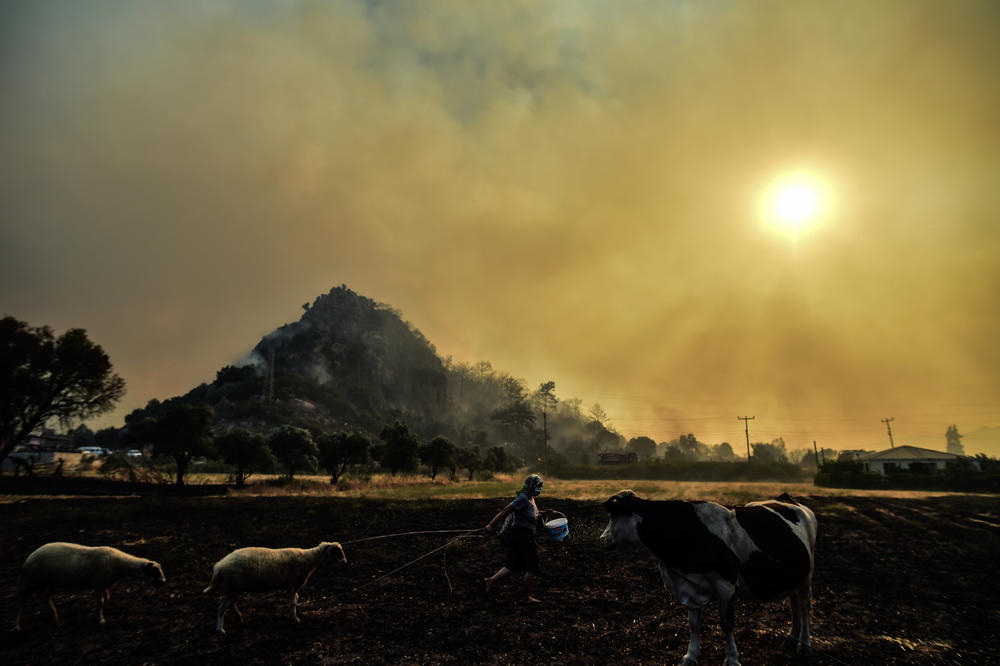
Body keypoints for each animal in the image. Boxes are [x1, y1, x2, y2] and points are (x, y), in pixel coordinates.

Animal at [12, 540, 165, 628]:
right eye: (153, 571)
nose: (163, 582)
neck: (118, 564)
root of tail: (29, 557)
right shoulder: (99, 583)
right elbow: (101, 602)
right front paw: (101, 620)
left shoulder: (105, 585)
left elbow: (104, 600)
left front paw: (93, 614)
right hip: (30, 580)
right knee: (20, 602)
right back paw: (16, 625)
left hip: (50, 582)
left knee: (44, 598)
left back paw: (55, 617)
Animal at [201, 536, 346, 632]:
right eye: (337, 552)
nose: (345, 562)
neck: (309, 559)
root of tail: (219, 567)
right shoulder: (294, 584)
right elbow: (293, 602)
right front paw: (296, 619)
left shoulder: (290, 586)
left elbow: (294, 600)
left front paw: (288, 615)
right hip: (231, 587)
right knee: (221, 608)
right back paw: (220, 630)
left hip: (234, 588)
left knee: (229, 604)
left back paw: (240, 618)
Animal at [600, 488, 812, 664]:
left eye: (613, 516)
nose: (602, 539)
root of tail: (787, 499)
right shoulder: (690, 588)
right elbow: (693, 624)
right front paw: (690, 656)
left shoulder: (726, 585)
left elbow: (727, 624)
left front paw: (732, 658)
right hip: (794, 577)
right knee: (794, 603)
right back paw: (792, 638)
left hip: (807, 576)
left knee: (804, 607)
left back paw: (804, 645)